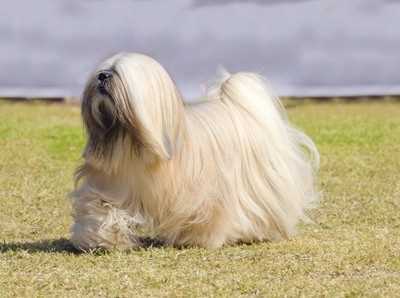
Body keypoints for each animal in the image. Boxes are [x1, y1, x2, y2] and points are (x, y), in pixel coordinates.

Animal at [69, 52, 318, 250]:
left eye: (116, 74)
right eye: (102, 72)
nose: (102, 76)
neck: (133, 144)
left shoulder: (202, 193)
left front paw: (198, 239)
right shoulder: (110, 185)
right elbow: (99, 210)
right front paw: (101, 240)